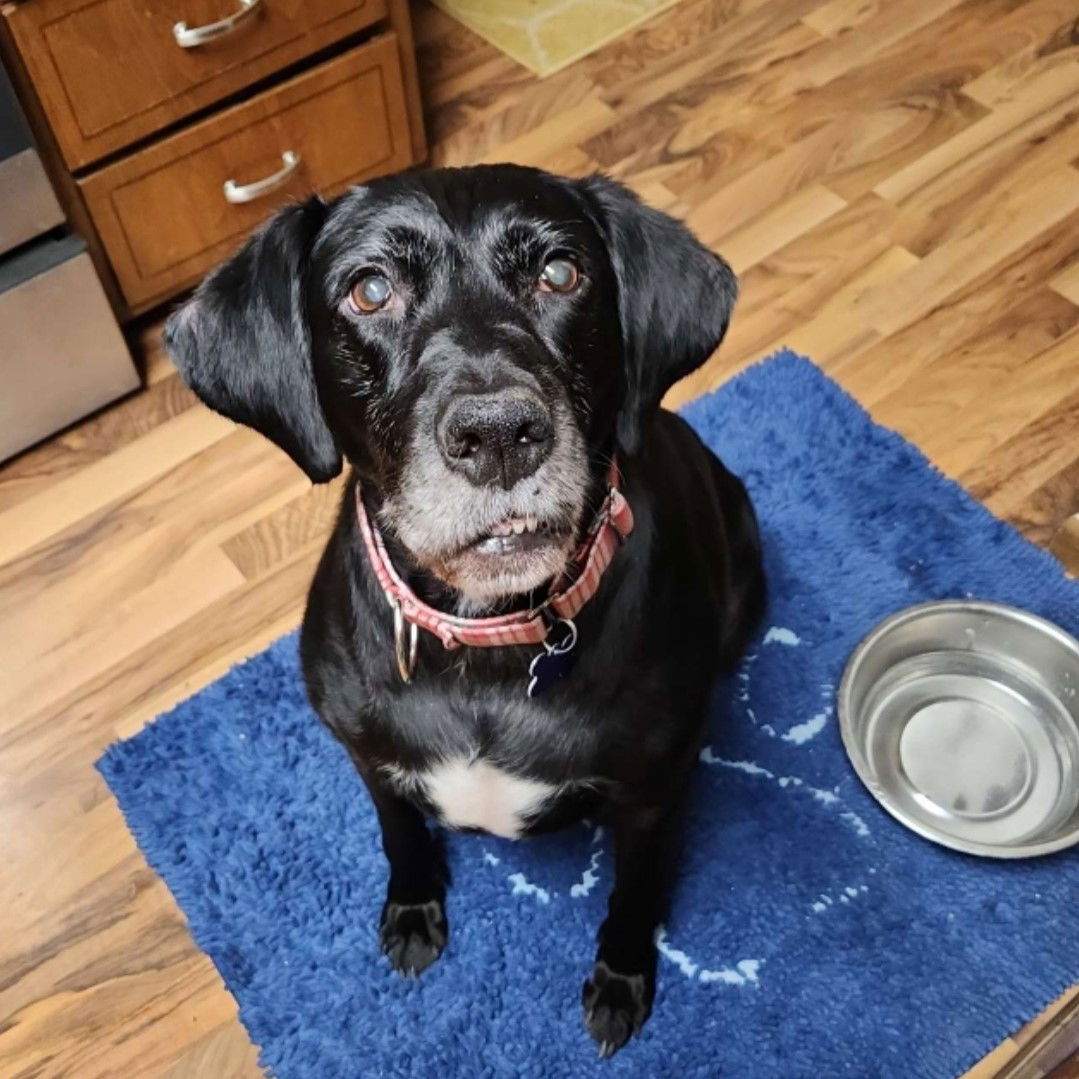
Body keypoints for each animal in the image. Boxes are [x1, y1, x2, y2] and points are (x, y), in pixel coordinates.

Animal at [164, 164, 763, 1057]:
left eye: (560, 273)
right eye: (369, 290)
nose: (500, 433)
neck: (487, 638)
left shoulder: (652, 793)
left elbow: (632, 894)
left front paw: (621, 981)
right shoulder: (368, 754)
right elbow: (401, 832)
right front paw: (412, 912)